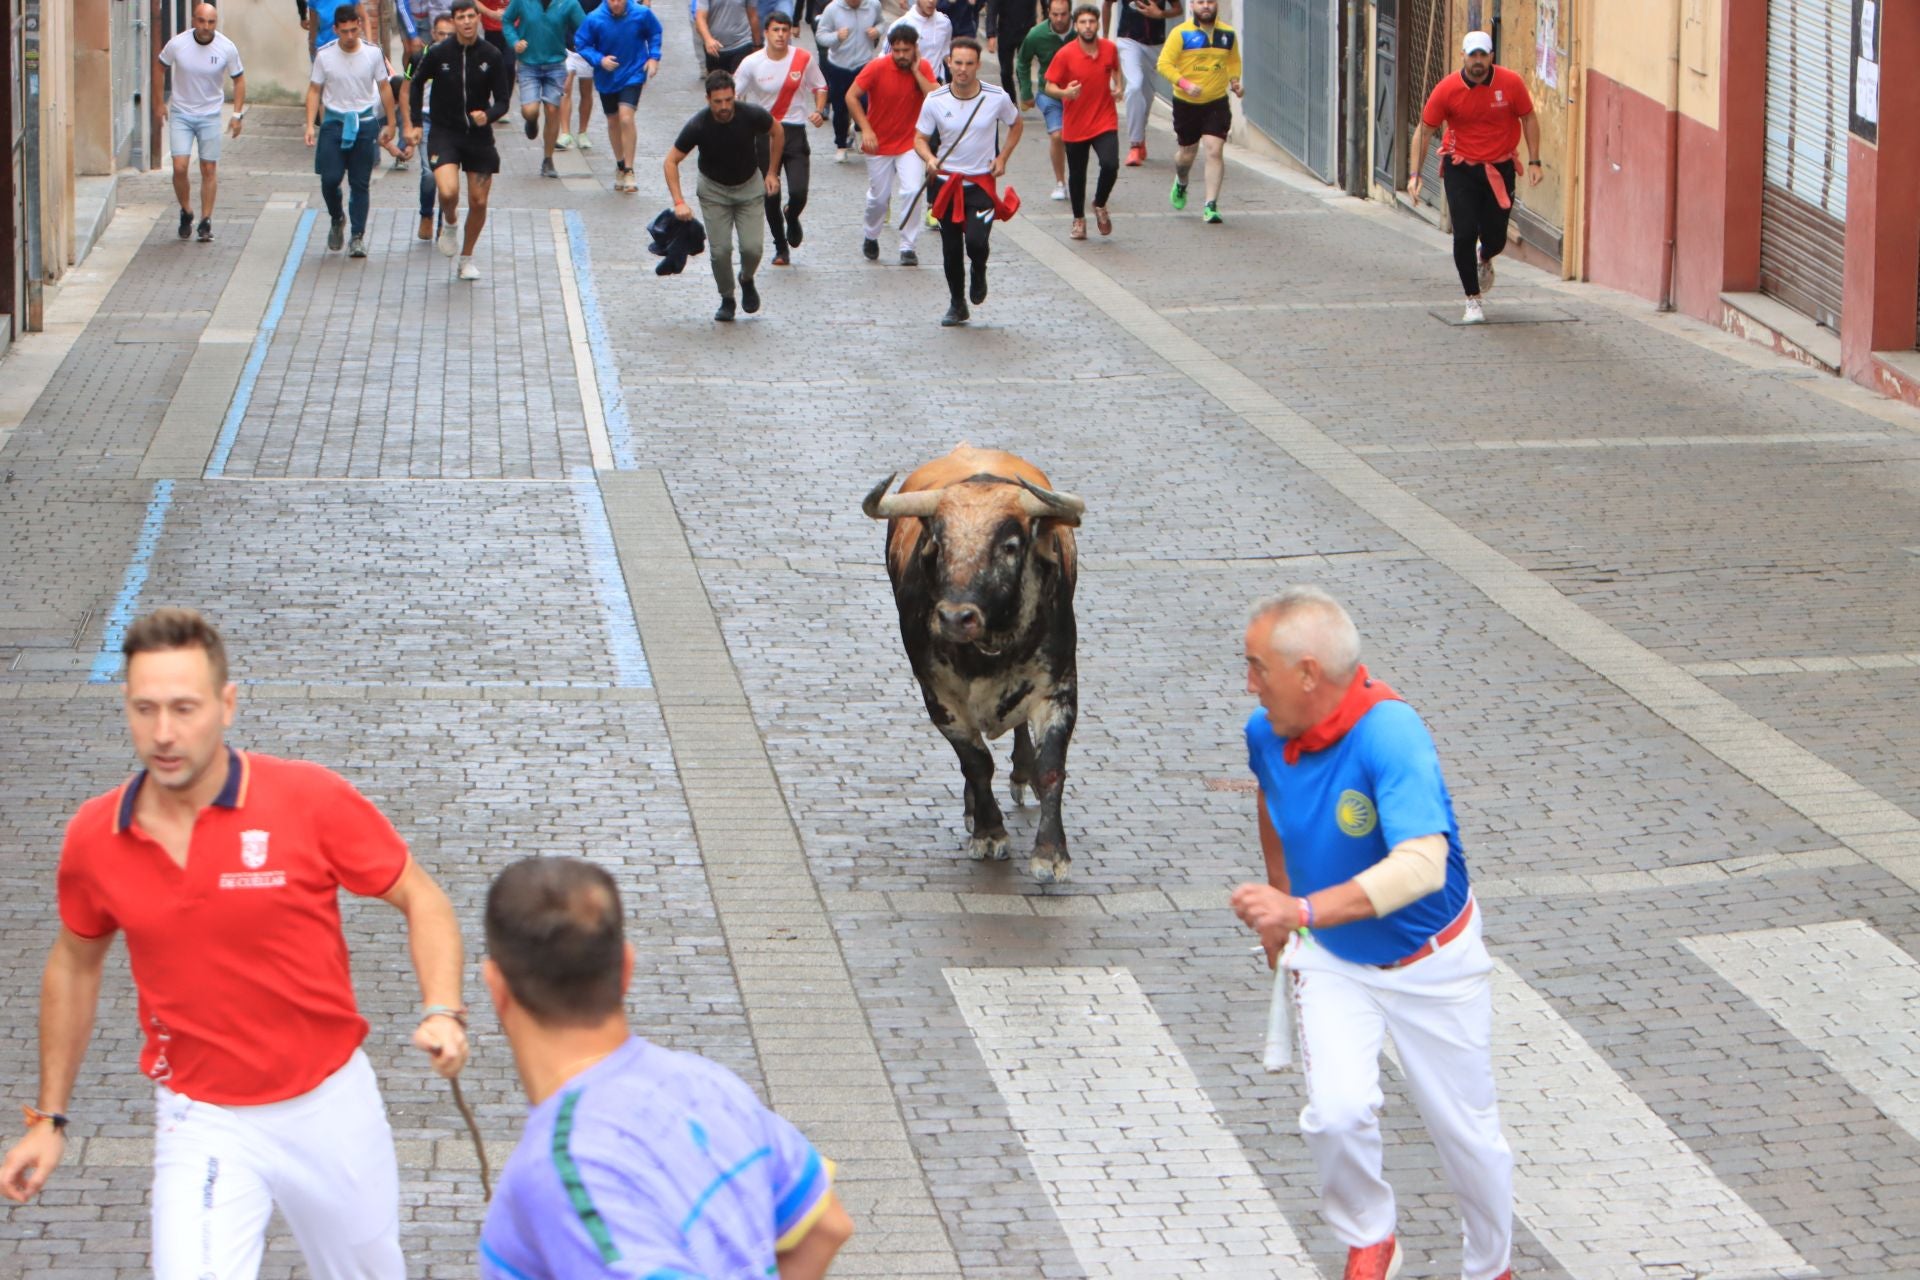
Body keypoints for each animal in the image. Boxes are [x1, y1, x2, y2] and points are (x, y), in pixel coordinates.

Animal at [867, 449, 1090, 882]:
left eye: (1010, 545)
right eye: (939, 543)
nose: (956, 617)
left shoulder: (1058, 689)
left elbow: (1051, 767)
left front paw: (1051, 853)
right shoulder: (939, 697)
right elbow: (976, 762)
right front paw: (989, 832)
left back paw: (1021, 773)